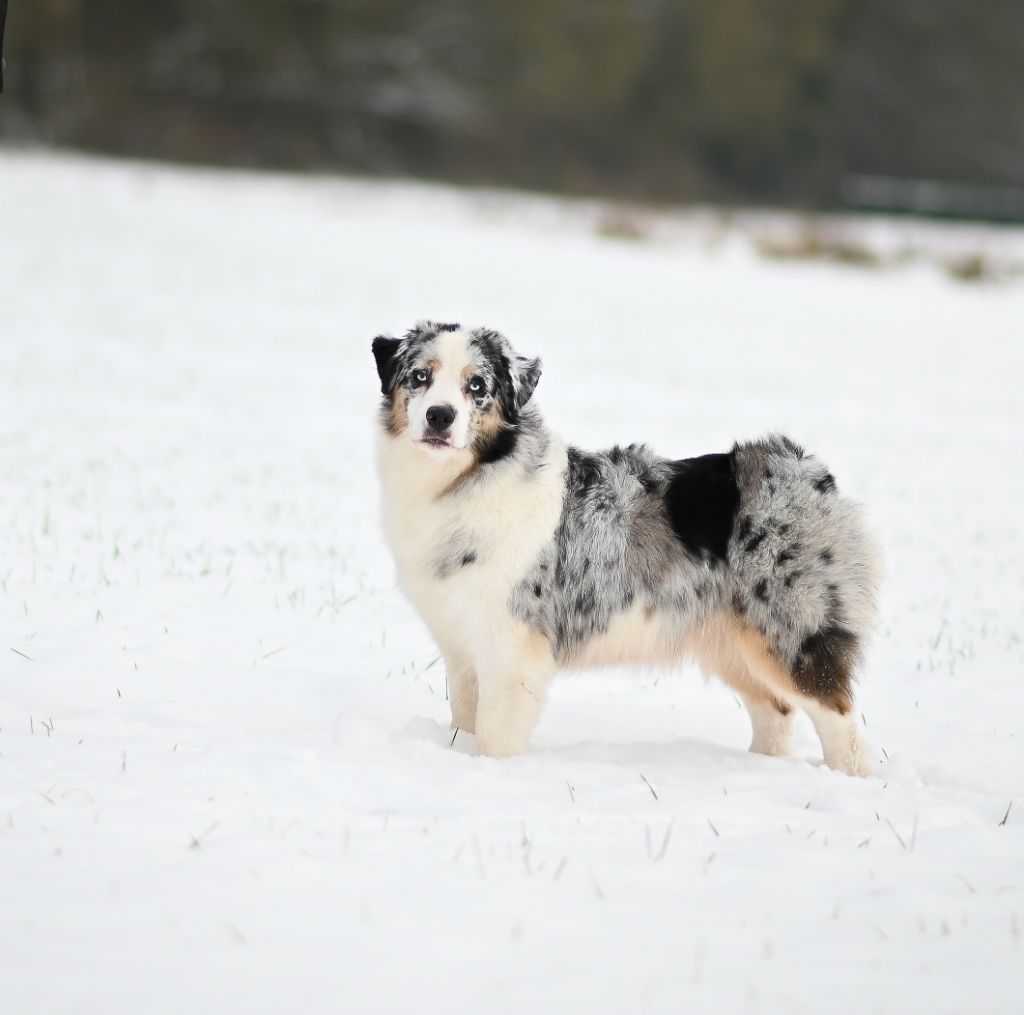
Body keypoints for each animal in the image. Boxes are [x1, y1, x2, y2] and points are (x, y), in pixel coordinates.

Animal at [372, 321, 884, 774]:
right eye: (420, 376)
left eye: (476, 386)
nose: (440, 416)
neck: (460, 480)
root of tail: (812, 474)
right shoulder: (460, 642)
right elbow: (466, 718)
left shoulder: (511, 643)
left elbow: (496, 732)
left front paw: (490, 773)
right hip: (730, 643)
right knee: (775, 712)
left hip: (791, 634)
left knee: (842, 725)